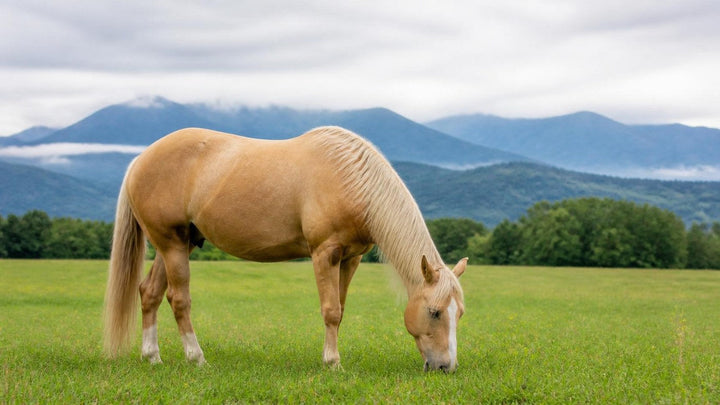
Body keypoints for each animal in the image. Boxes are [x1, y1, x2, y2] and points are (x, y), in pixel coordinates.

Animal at [103, 126, 466, 372]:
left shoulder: (351, 258)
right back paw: (197, 358)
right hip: (172, 245)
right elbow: (330, 311)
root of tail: (140, 159)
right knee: (179, 300)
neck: (351, 180)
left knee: (149, 292)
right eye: (434, 312)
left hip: (177, 244)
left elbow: (341, 310)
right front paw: (332, 363)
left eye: (459, 313)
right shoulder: (325, 254)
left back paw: (152, 357)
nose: (446, 367)